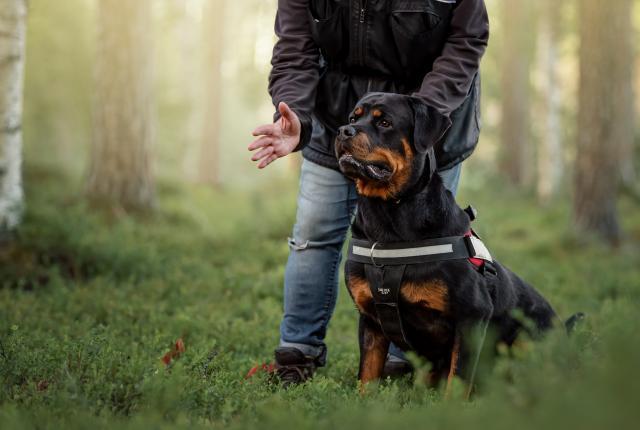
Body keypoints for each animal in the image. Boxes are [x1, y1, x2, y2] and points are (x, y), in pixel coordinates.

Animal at [338, 92, 572, 394]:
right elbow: (367, 374)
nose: (344, 130)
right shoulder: (370, 320)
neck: (388, 213)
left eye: (385, 122)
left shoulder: (472, 315)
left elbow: (458, 379)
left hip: (526, 342)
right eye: (352, 117)